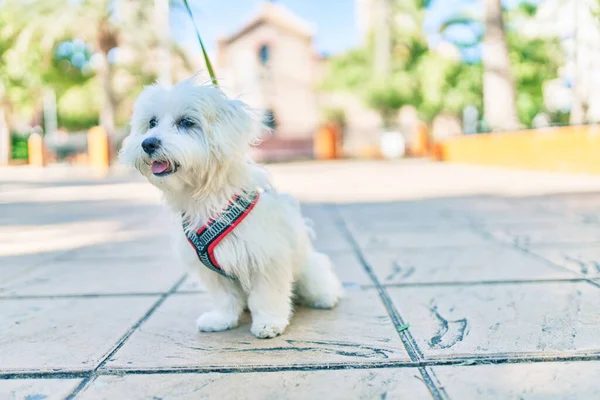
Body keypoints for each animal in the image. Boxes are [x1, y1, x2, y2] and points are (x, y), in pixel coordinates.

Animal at [120, 76, 342, 338]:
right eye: (152, 122)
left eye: (186, 122)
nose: (148, 143)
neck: (205, 197)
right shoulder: (212, 271)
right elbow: (224, 298)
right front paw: (221, 319)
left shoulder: (266, 259)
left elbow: (267, 296)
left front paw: (268, 323)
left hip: (309, 271)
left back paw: (326, 297)